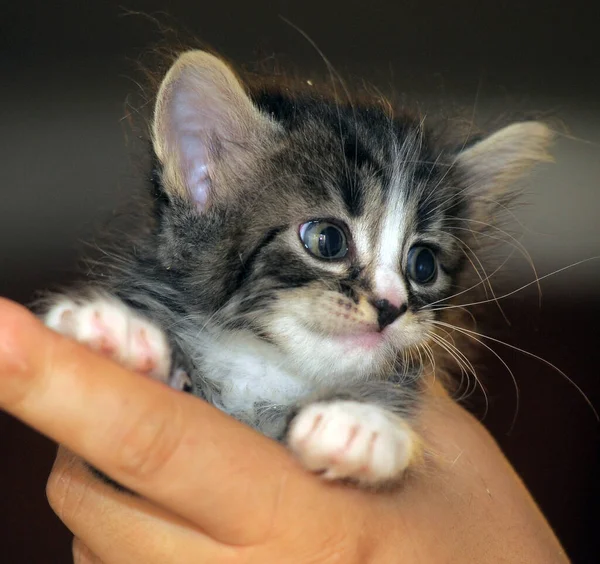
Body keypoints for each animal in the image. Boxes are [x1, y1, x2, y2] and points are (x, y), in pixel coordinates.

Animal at [41, 50, 552, 486]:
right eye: (327, 240)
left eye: (423, 264)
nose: (392, 306)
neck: (266, 372)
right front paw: (121, 339)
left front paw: (364, 425)